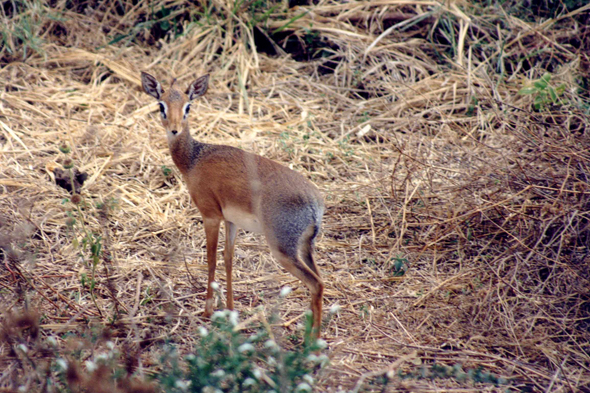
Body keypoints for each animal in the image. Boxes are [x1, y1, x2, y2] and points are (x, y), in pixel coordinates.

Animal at [142, 72, 328, 336]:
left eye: (188, 106)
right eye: (161, 105)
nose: (175, 130)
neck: (194, 159)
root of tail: (315, 205)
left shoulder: (210, 215)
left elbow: (211, 259)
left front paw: (208, 311)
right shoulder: (231, 221)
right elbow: (228, 259)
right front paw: (229, 309)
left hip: (282, 248)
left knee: (316, 284)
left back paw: (312, 341)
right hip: (304, 247)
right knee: (320, 280)